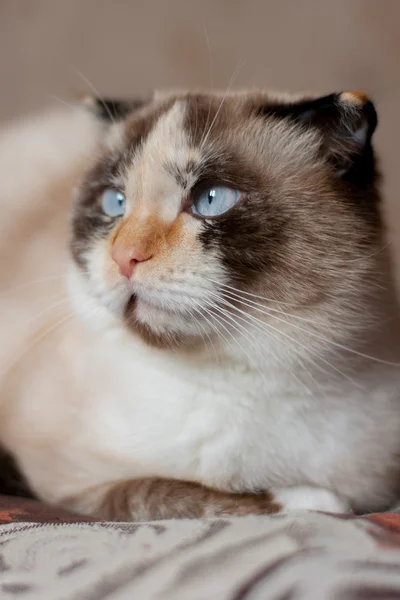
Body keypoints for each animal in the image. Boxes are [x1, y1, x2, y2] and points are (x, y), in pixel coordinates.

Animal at [0, 89, 400, 520]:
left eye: (211, 199)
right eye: (114, 202)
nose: (124, 257)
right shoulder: (71, 488)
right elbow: (172, 494)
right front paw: (313, 501)